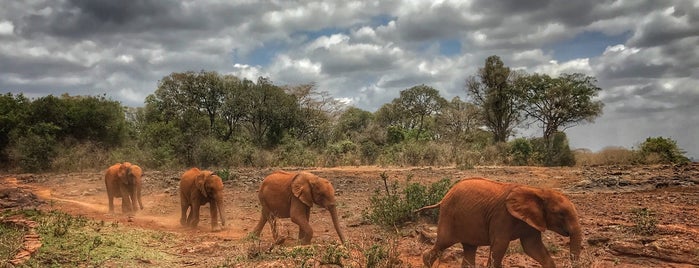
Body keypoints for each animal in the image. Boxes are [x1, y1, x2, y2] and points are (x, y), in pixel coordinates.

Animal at [416, 178, 584, 268]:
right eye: (560, 214)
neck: (537, 191)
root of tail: (443, 197)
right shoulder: (502, 216)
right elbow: (500, 245)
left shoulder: (532, 222)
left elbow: (533, 247)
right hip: (449, 216)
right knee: (443, 242)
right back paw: (425, 261)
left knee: (469, 247)